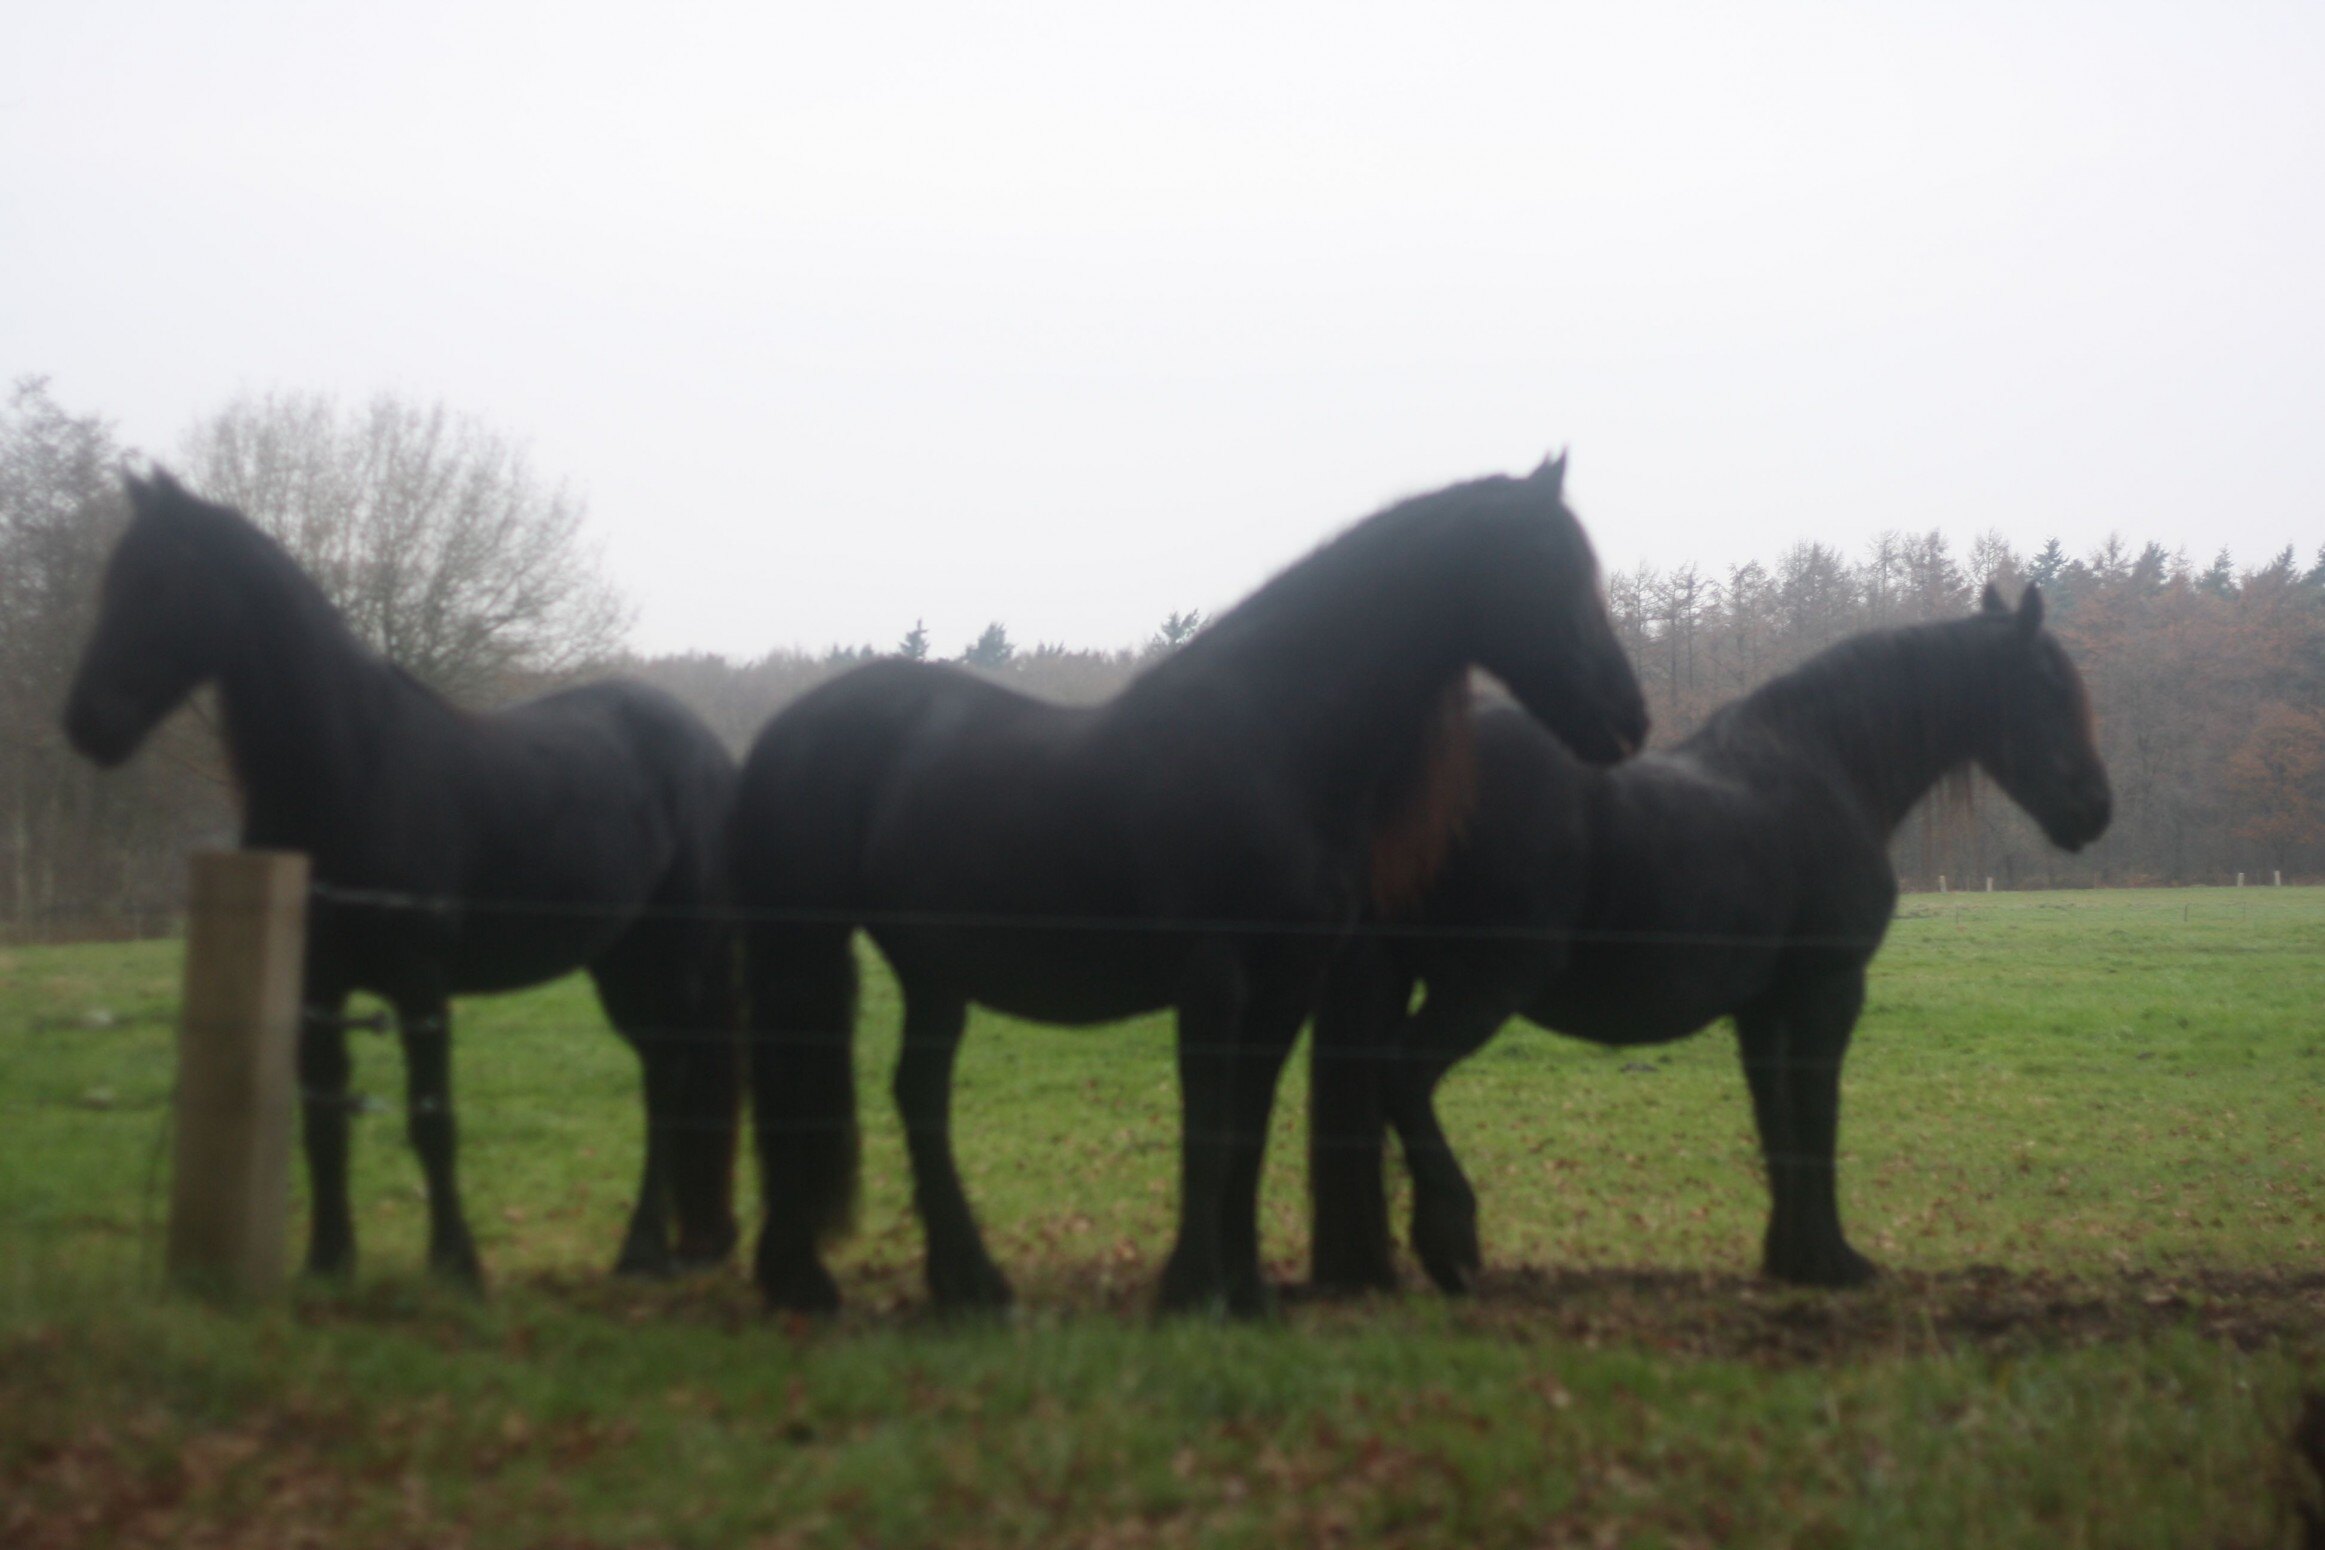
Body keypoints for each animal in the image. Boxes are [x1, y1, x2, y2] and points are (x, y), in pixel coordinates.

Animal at [63, 472, 742, 1284]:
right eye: (112, 581)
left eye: (161, 582)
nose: (86, 723)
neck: (354, 771)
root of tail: (708, 751)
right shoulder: (316, 989)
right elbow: (324, 1119)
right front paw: (328, 1260)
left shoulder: (421, 987)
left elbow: (432, 1121)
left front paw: (456, 1265)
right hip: (621, 964)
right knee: (661, 1076)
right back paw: (679, 1243)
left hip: (674, 961)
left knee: (668, 1083)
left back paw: (643, 1250)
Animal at [732, 455, 1649, 1316]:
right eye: (1544, 559)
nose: (1627, 720)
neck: (1272, 738)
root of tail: (785, 730)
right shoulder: (1214, 976)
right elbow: (1206, 1128)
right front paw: (1193, 1288)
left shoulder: (1287, 984)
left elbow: (1246, 1128)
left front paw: (1245, 1291)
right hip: (804, 950)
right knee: (798, 1089)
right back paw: (806, 1282)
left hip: (931, 970)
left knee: (916, 1095)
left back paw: (970, 1285)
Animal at [1308, 582, 2112, 1296]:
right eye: (2047, 684)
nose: (2096, 808)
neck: (1824, 768)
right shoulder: (1827, 989)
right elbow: (1815, 1115)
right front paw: (1836, 1261)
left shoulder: (1762, 1007)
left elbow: (1775, 1120)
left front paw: (1793, 1258)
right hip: (1484, 983)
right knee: (1402, 1076)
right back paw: (1451, 1242)